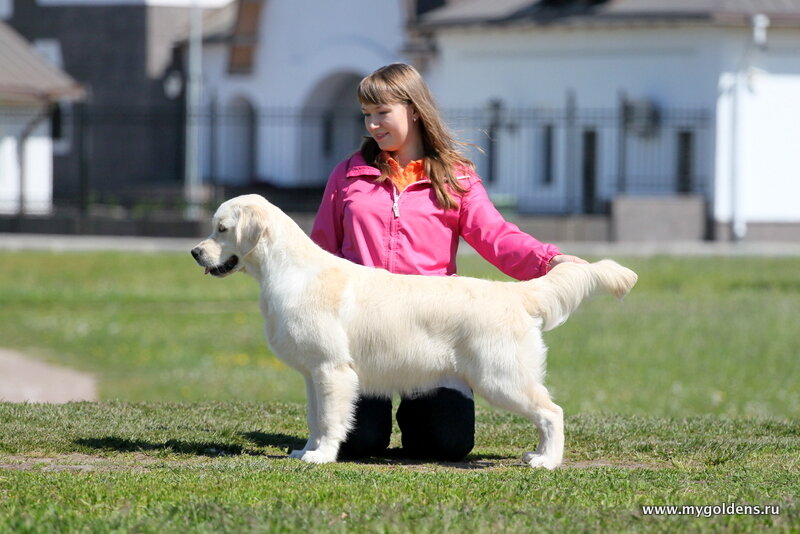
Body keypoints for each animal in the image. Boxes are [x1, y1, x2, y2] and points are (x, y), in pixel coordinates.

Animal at [191, 196, 636, 468]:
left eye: (222, 229)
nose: (195, 252)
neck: (289, 271)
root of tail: (516, 292)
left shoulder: (333, 370)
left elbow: (331, 420)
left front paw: (323, 456)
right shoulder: (314, 374)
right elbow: (316, 418)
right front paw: (306, 450)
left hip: (501, 377)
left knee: (551, 413)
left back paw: (547, 460)